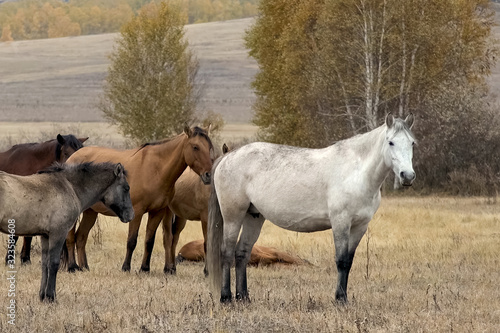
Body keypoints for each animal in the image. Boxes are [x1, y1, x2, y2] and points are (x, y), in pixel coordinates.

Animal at [0, 161, 134, 300]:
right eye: (126, 188)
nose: (131, 215)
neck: (69, 187)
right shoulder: (58, 234)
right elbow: (53, 264)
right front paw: (51, 297)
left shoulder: (45, 236)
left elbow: (45, 264)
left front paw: (42, 296)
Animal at [63, 124, 212, 272]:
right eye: (195, 147)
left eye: (209, 147)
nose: (208, 175)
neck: (156, 169)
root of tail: (71, 158)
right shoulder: (137, 212)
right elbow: (132, 241)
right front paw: (126, 267)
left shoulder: (157, 212)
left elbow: (149, 241)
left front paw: (144, 268)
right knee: (70, 237)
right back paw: (72, 266)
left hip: (91, 211)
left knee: (81, 237)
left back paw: (84, 267)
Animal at [205, 114, 416, 304]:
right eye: (391, 142)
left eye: (412, 143)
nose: (407, 176)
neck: (356, 173)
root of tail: (228, 157)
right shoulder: (340, 222)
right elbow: (341, 261)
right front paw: (340, 300)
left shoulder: (360, 227)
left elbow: (348, 261)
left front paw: (344, 298)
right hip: (233, 217)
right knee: (227, 253)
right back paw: (226, 298)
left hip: (254, 217)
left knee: (242, 253)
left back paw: (244, 298)